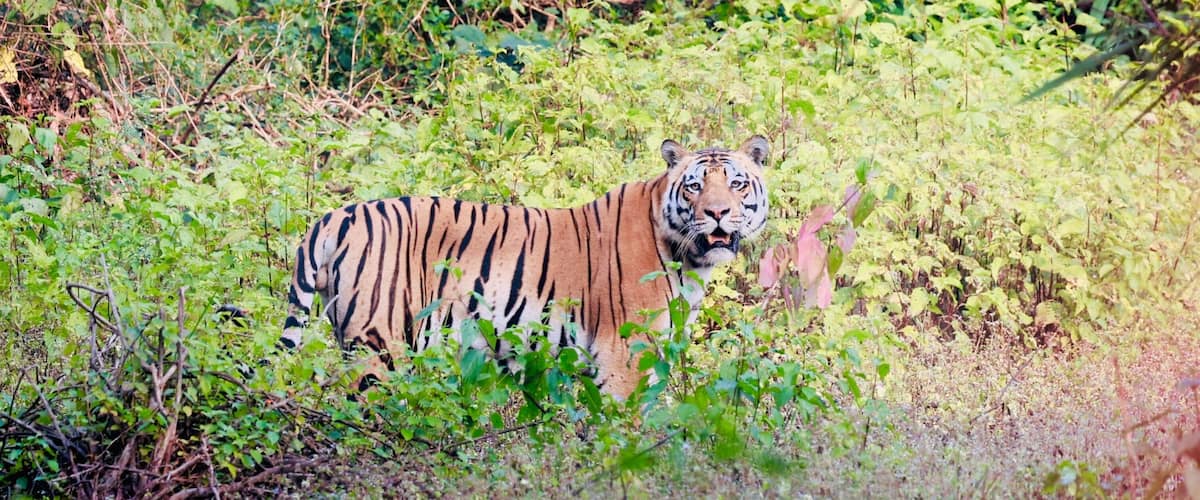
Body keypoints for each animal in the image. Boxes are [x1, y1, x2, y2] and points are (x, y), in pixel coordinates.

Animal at [281, 135, 770, 400]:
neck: (690, 260)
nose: (718, 214)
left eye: (736, 183)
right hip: (379, 348)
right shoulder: (623, 354)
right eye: (694, 187)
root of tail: (333, 216)